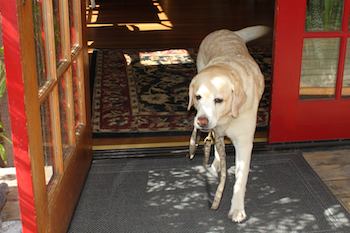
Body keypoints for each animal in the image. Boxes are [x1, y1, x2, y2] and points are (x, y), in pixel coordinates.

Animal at [189, 25, 268, 222]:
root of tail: (226, 31)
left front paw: (237, 209)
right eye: (197, 97)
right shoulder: (217, 129)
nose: (201, 121)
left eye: (218, 100)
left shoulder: (244, 143)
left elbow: (240, 181)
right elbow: (219, 148)